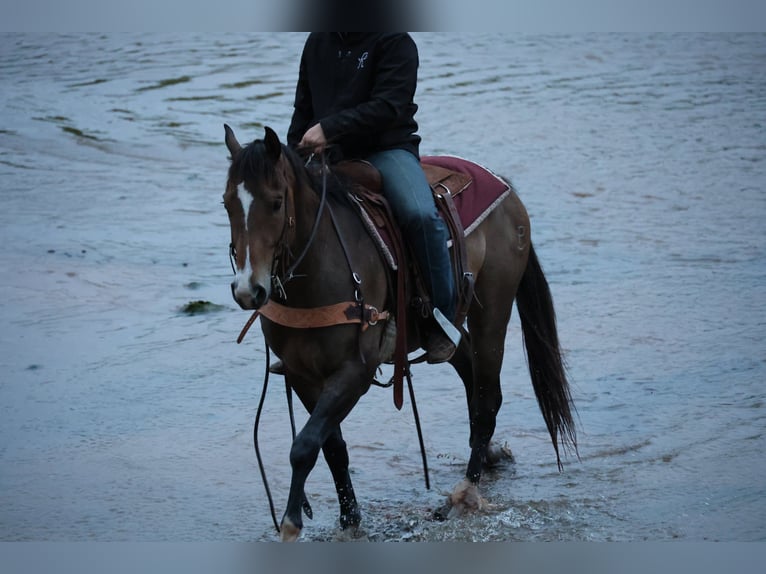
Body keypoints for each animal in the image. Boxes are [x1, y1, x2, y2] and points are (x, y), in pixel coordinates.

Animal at [222, 124, 577, 541]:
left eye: (277, 203)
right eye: (227, 203)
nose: (248, 290)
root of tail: (505, 188)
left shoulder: (354, 372)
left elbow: (305, 445)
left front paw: (291, 523)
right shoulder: (301, 375)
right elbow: (332, 448)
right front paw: (349, 520)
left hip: (493, 310)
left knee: (487, 398)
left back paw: (464, 494)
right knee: (470, 374)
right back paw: (488, 456)